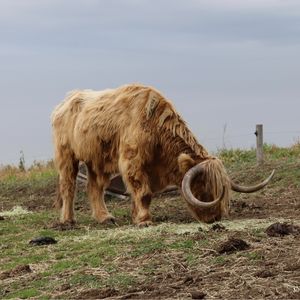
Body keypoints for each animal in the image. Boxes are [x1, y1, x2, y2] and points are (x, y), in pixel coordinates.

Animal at [52, 84, 274, 225]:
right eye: (203, 185)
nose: (214, 217)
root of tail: (64, 101)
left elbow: (138, 192)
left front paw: (136, 217)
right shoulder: (132, 161)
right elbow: (143, 192)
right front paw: (144, 220)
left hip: (98, 160)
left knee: (94, 187)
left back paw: (105, 217)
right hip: (67, 154)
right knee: (68, 185)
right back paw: (67, 220)